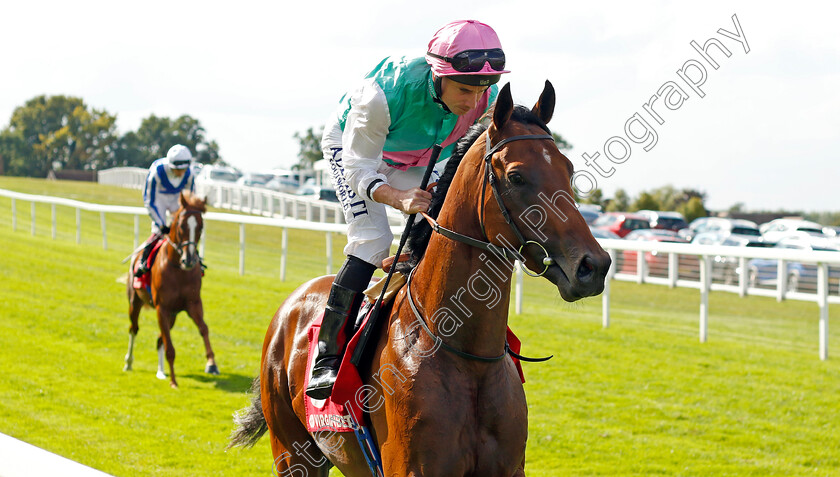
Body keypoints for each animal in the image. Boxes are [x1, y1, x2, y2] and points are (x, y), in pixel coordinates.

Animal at [124, 190, 218, 386]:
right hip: (135, 302)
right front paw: (174, 381)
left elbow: (204, 328)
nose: (189, 260)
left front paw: (212, 363)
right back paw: (128, 362)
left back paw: (161, 372)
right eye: (181, 226)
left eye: (201, 227)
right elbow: (170, 347)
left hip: (173, 315)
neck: (178, 270)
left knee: (160, 339)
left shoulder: (193, 304)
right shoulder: (163, 308)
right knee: (134, 329)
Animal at [230, 82, 612, 472]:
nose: (593, 266)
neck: (465, 354)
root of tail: (295, 299)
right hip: (291, 453)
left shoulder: (508, 467)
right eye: (516, 176)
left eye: (568, 169)